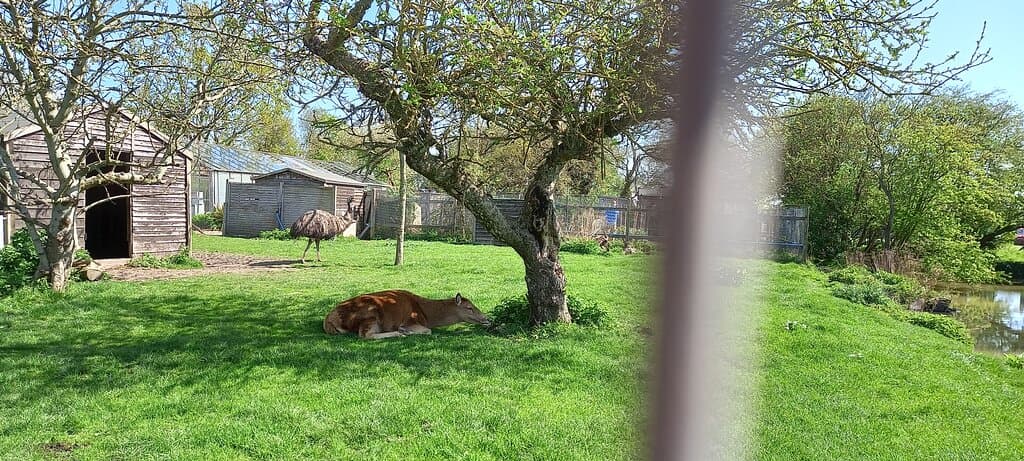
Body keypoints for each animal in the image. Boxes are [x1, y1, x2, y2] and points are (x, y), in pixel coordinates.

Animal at [323, 290, 491, 339]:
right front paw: (405, 330)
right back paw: (400, 333)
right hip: (370, 314)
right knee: (365, 335)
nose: (487, 318)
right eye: (469, 308)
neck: (427, 315)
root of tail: (328, 321)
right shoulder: (412, 320)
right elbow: (428, 331)